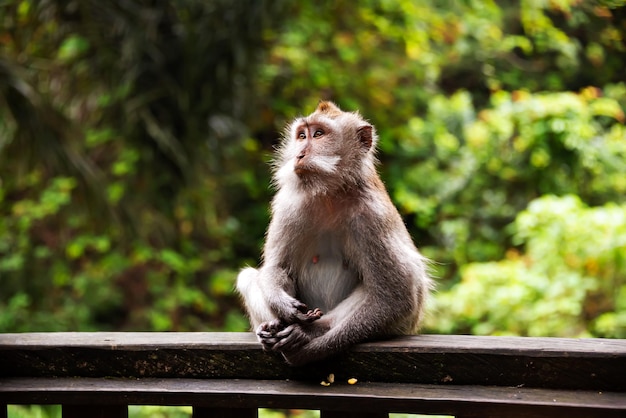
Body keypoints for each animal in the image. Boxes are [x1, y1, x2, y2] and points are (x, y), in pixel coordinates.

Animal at [234, 101, 428, 366]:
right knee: (249, 277)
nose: (299, 154)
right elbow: (278, 267)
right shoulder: (288, 206)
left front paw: (310, 344)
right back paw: (273, 325)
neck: (329, 194)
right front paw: (283, 307)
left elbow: (397, 298)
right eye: (302, 136)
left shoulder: (372, 216)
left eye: (318, 134)